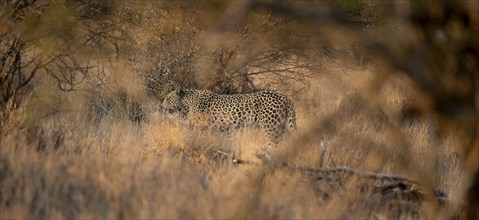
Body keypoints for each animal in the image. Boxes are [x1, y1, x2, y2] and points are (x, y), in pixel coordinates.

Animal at [161, 88, 296, 156]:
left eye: (168, 98)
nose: (161, 106)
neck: (187, 103)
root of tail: (286, 98)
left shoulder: (200, 126)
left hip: (271, 129)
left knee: (274, 146)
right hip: (284, 129)